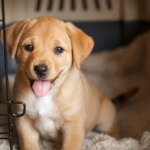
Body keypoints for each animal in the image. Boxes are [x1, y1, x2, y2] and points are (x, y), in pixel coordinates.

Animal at [0, 17, 119, 150]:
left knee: (114, 128)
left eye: (59, 49)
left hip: (105, 119)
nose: (40, 69)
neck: (47, 95)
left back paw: (114, 140)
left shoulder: (73, 123)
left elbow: (70, 146)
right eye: (29, 47)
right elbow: (29, 144)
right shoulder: (24, 121)